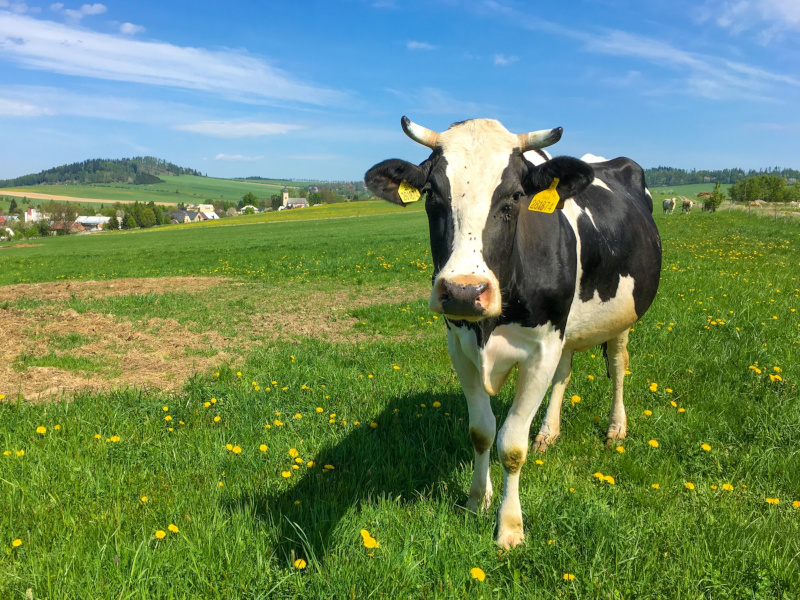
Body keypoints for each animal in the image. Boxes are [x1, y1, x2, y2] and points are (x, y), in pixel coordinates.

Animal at [365, 117, 662, 549]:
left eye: (516, 196)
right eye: (431, 194)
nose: (464, 291)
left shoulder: (541, 348)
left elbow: (512, 445)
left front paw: (509, 527)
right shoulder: (460, 346)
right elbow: (482, 432)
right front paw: (477, 501)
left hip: (623, 316)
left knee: (619, 366)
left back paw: (616, 427)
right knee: (565, 371)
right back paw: (549, 432)